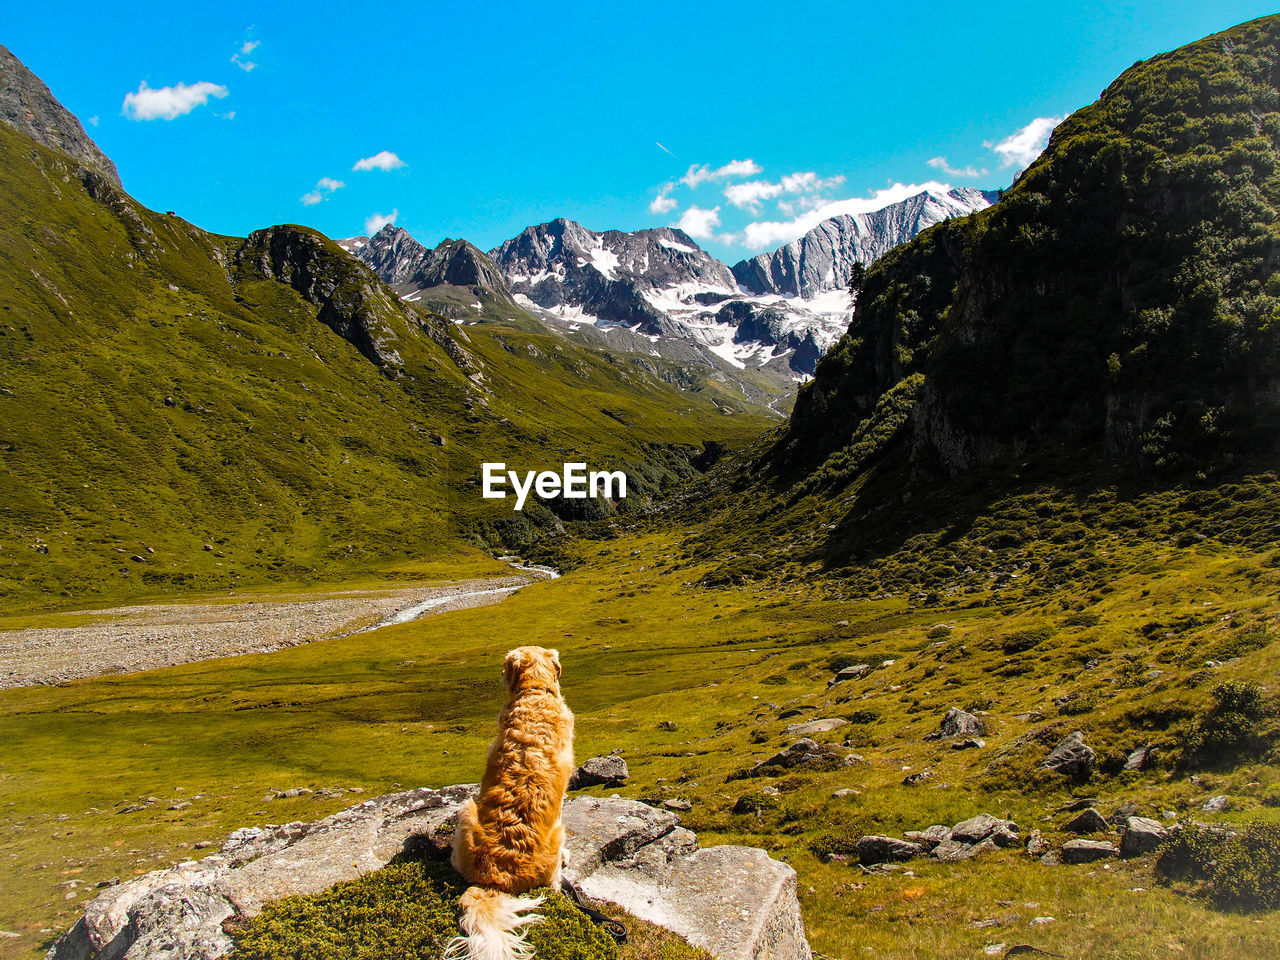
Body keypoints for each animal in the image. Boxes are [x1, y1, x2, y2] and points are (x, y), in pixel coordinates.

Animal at [445, 647, 576, 960]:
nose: (499, 674)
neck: (535, 693)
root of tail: (496, 881)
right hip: (552, 830)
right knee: (554, 882)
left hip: (467, 811)